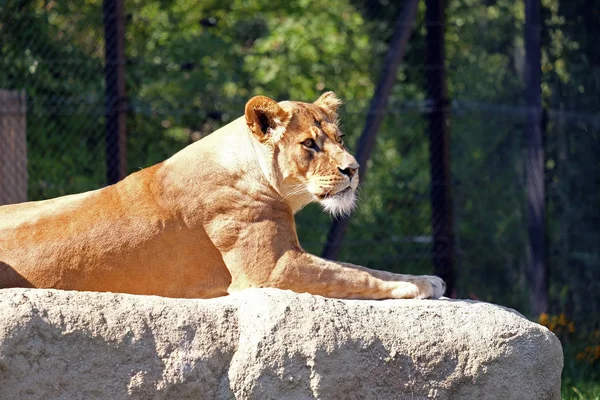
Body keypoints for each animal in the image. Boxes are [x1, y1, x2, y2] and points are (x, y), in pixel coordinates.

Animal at [1, 92, 446, 300]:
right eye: (309, 144)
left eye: (338, 139)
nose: (352, 169)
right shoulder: (272, 270)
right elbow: (355, 275)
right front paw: (416, 287)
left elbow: (360, 267)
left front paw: (426, 278)